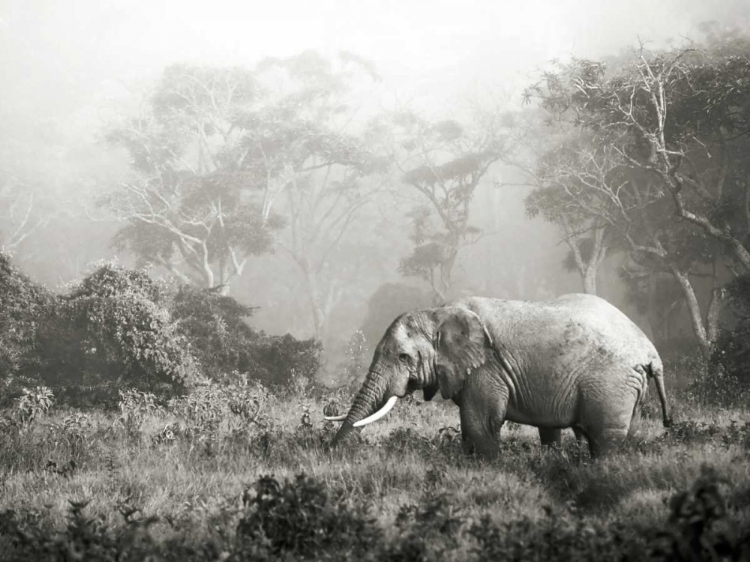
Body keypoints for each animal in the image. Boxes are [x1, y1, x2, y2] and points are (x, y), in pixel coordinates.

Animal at [328, 290, 676, 458]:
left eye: (403, 357)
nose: (331, 451)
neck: (438, 312)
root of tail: (651, 352)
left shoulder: (487, 367)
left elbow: (479, 422)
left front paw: (490, 468)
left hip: (611, 382)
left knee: (604, 439)